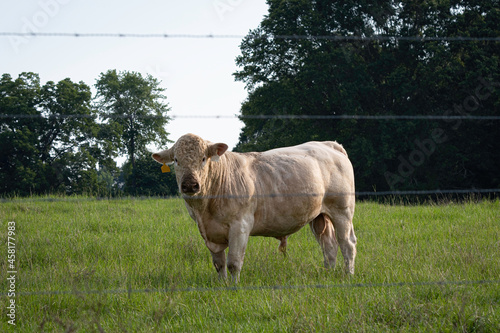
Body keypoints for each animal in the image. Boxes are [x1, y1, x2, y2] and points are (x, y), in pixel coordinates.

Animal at [151, 132, 356, 280]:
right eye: (176, 160)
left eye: (203, 158)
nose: (190, 185)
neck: (205, 210)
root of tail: (328, 144)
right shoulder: (209, 233)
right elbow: (219, 264)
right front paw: (222, 285)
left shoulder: (240, 225)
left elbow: (234, 263)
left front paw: (234, 288)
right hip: (319, 216)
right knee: (329, 245)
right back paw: (328, 273)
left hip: (342, 210)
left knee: (347, 243)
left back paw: (348, 275)